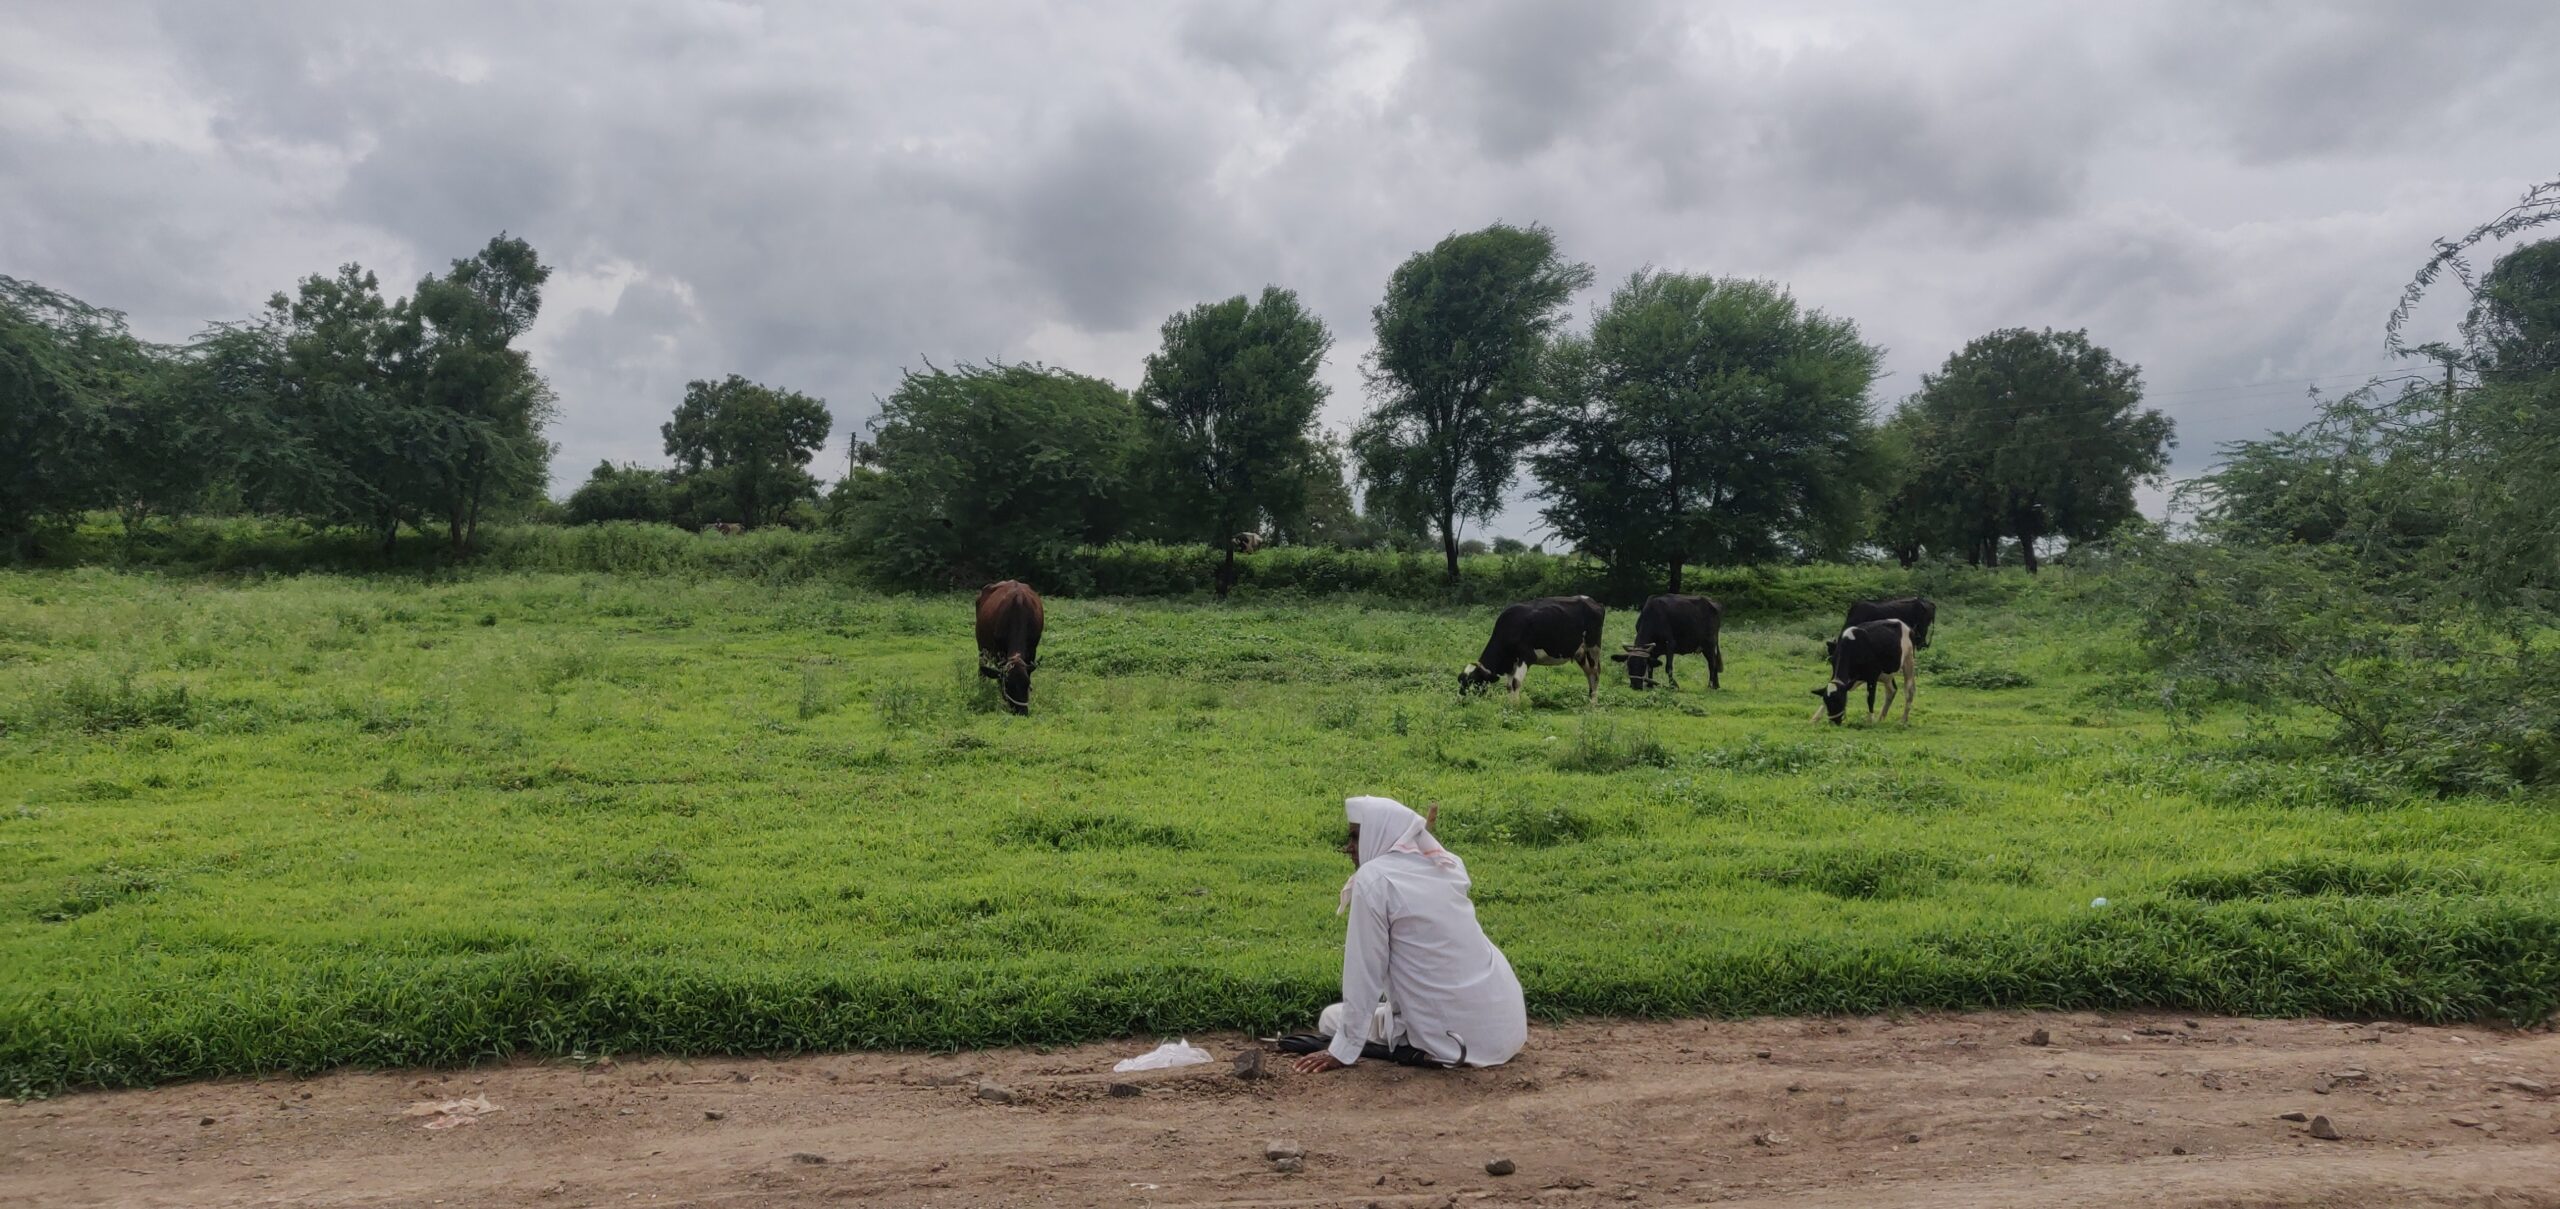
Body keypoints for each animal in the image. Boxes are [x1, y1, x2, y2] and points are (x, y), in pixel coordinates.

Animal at [967, 578, 1039, 712]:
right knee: (981, 668)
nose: (1022, 711)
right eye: (1009, 685)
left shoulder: (1033, 650)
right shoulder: (998, 652)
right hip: (981, 647)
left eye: (1027, 684)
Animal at [1464, 591, 1597, 701]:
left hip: (1593, 648)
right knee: (1589, 674)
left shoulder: (1527, 656)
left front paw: (1515, 706)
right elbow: (1509, 686)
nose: (1461, 701)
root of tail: (1590, 600)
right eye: (1461, 681)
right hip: (1580, 653)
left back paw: (1593, 705)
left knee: (1595, 673)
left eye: (1472, 682)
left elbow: (1516, 683)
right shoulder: (1511, 661)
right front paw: (1509, 704)